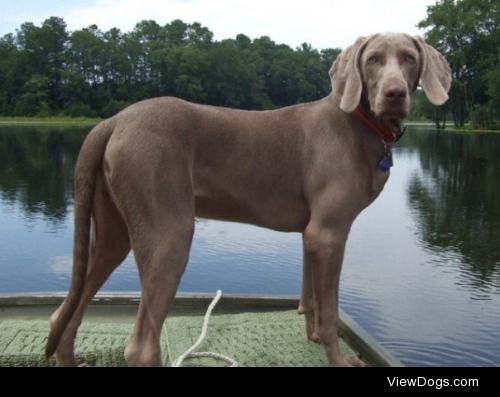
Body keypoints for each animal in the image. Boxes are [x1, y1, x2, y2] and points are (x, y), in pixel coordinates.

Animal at [47, 33, 454, 366]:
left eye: (409, 58)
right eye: (372, 60)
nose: (394, 94)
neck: (360, 124)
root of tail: (112, 121)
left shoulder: (312, 234)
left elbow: (311, 298)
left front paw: (311, 336)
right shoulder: (329, 232)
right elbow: (332, 313)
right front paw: (339, 359)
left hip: (114, 231)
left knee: (65, 314)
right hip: (169, 231)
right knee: (139, 346)